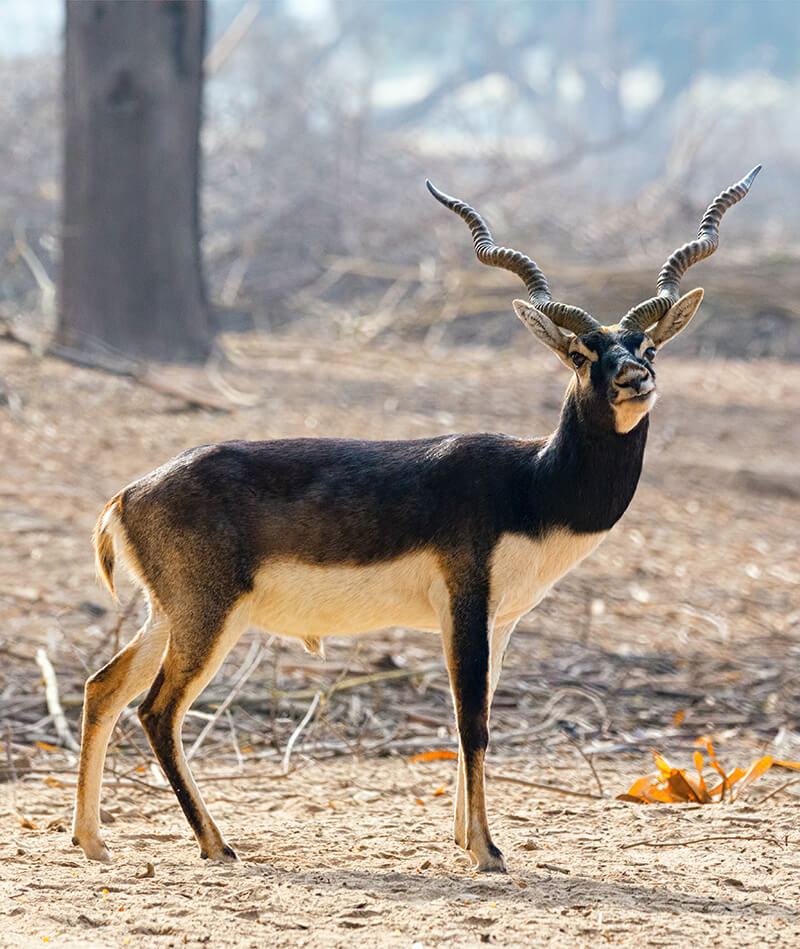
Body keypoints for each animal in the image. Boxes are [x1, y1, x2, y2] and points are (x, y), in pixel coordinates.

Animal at [72, 166, 760, 873]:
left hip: (168, 614)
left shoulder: (500, 619)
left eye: (648, 344)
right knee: (157, 710)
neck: (531, 483)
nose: (632, 378)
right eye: (577, 353)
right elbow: (471, 722)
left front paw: (463, 838)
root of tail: (127, 494)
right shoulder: (465, 601)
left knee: (103, 688)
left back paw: (93, 841)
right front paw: (485, 851)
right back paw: (215, 844)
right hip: (210, 616)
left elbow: (479, 714)